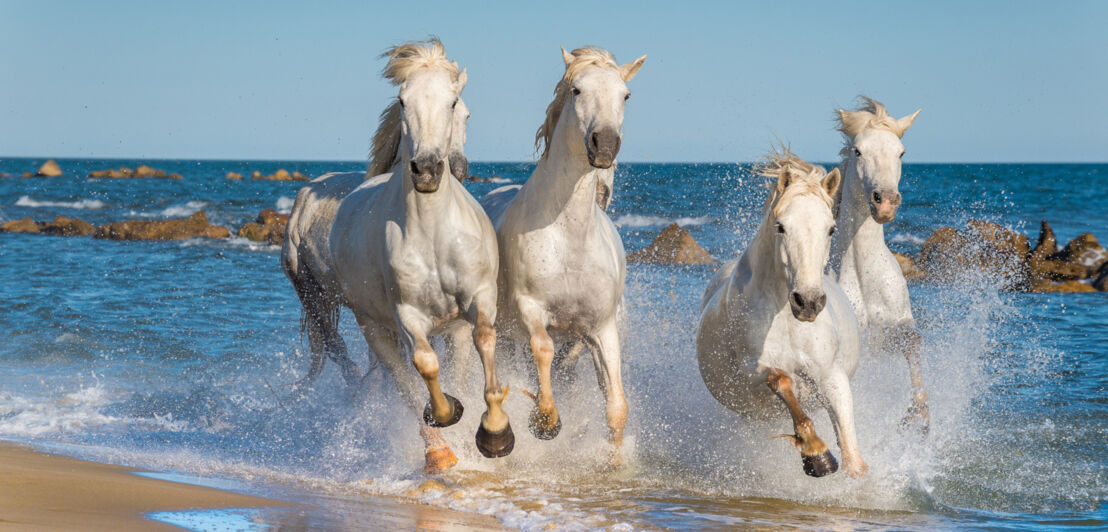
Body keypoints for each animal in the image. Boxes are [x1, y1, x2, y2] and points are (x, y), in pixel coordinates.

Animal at [310, 42, 511, 474]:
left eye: (456, 105)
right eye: (403, 101)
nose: (429, 170)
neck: (434, 234)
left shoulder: (478, 301)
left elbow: (485, 341)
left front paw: (497, 434)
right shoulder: (407, 315)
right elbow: (425, 366)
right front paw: (448, 414)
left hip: (450, 331)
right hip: (375, 328)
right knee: (404, 382)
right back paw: (438, 452)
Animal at [480, 47, 647, 458]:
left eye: (626, 95)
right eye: (576, 90)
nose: (605, 144)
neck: (570, 238)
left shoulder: (601, 328)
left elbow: (616, 406)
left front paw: (614, 462)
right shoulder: (530, 309)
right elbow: (542, 349)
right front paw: (545, 422)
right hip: (506, 335)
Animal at [695, 149, 868, 478]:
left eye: (831, 228)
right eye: (781, 227)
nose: (808, 303)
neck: (787, 319)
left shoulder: (831, 376)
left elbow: (852, 453)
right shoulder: (752, 372)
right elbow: (782, 380)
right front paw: (817, 455)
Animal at [833, 96, 926, 427]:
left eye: (901, 152)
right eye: (858, 151)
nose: (885, 202)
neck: (864, 276)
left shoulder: (894, 326)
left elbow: (914, 342)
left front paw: (919, 415)